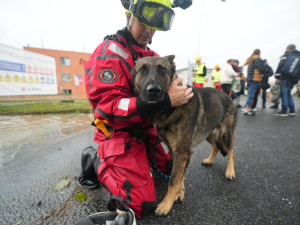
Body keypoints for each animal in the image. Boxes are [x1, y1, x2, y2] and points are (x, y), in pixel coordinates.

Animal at [131, 55, 237, 215]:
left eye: (162, 70)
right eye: (142, 70)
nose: (153, 91)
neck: (169, 108)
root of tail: (228, 96)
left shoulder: (182, 152)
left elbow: (173, 180)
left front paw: (166, 204)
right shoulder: (177, 153)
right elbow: (179, 176)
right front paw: (180, 193)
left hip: (226, 133)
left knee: (230, 152)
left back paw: (230, 171)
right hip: (208, 133)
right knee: (216, 147)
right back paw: (209, 160)